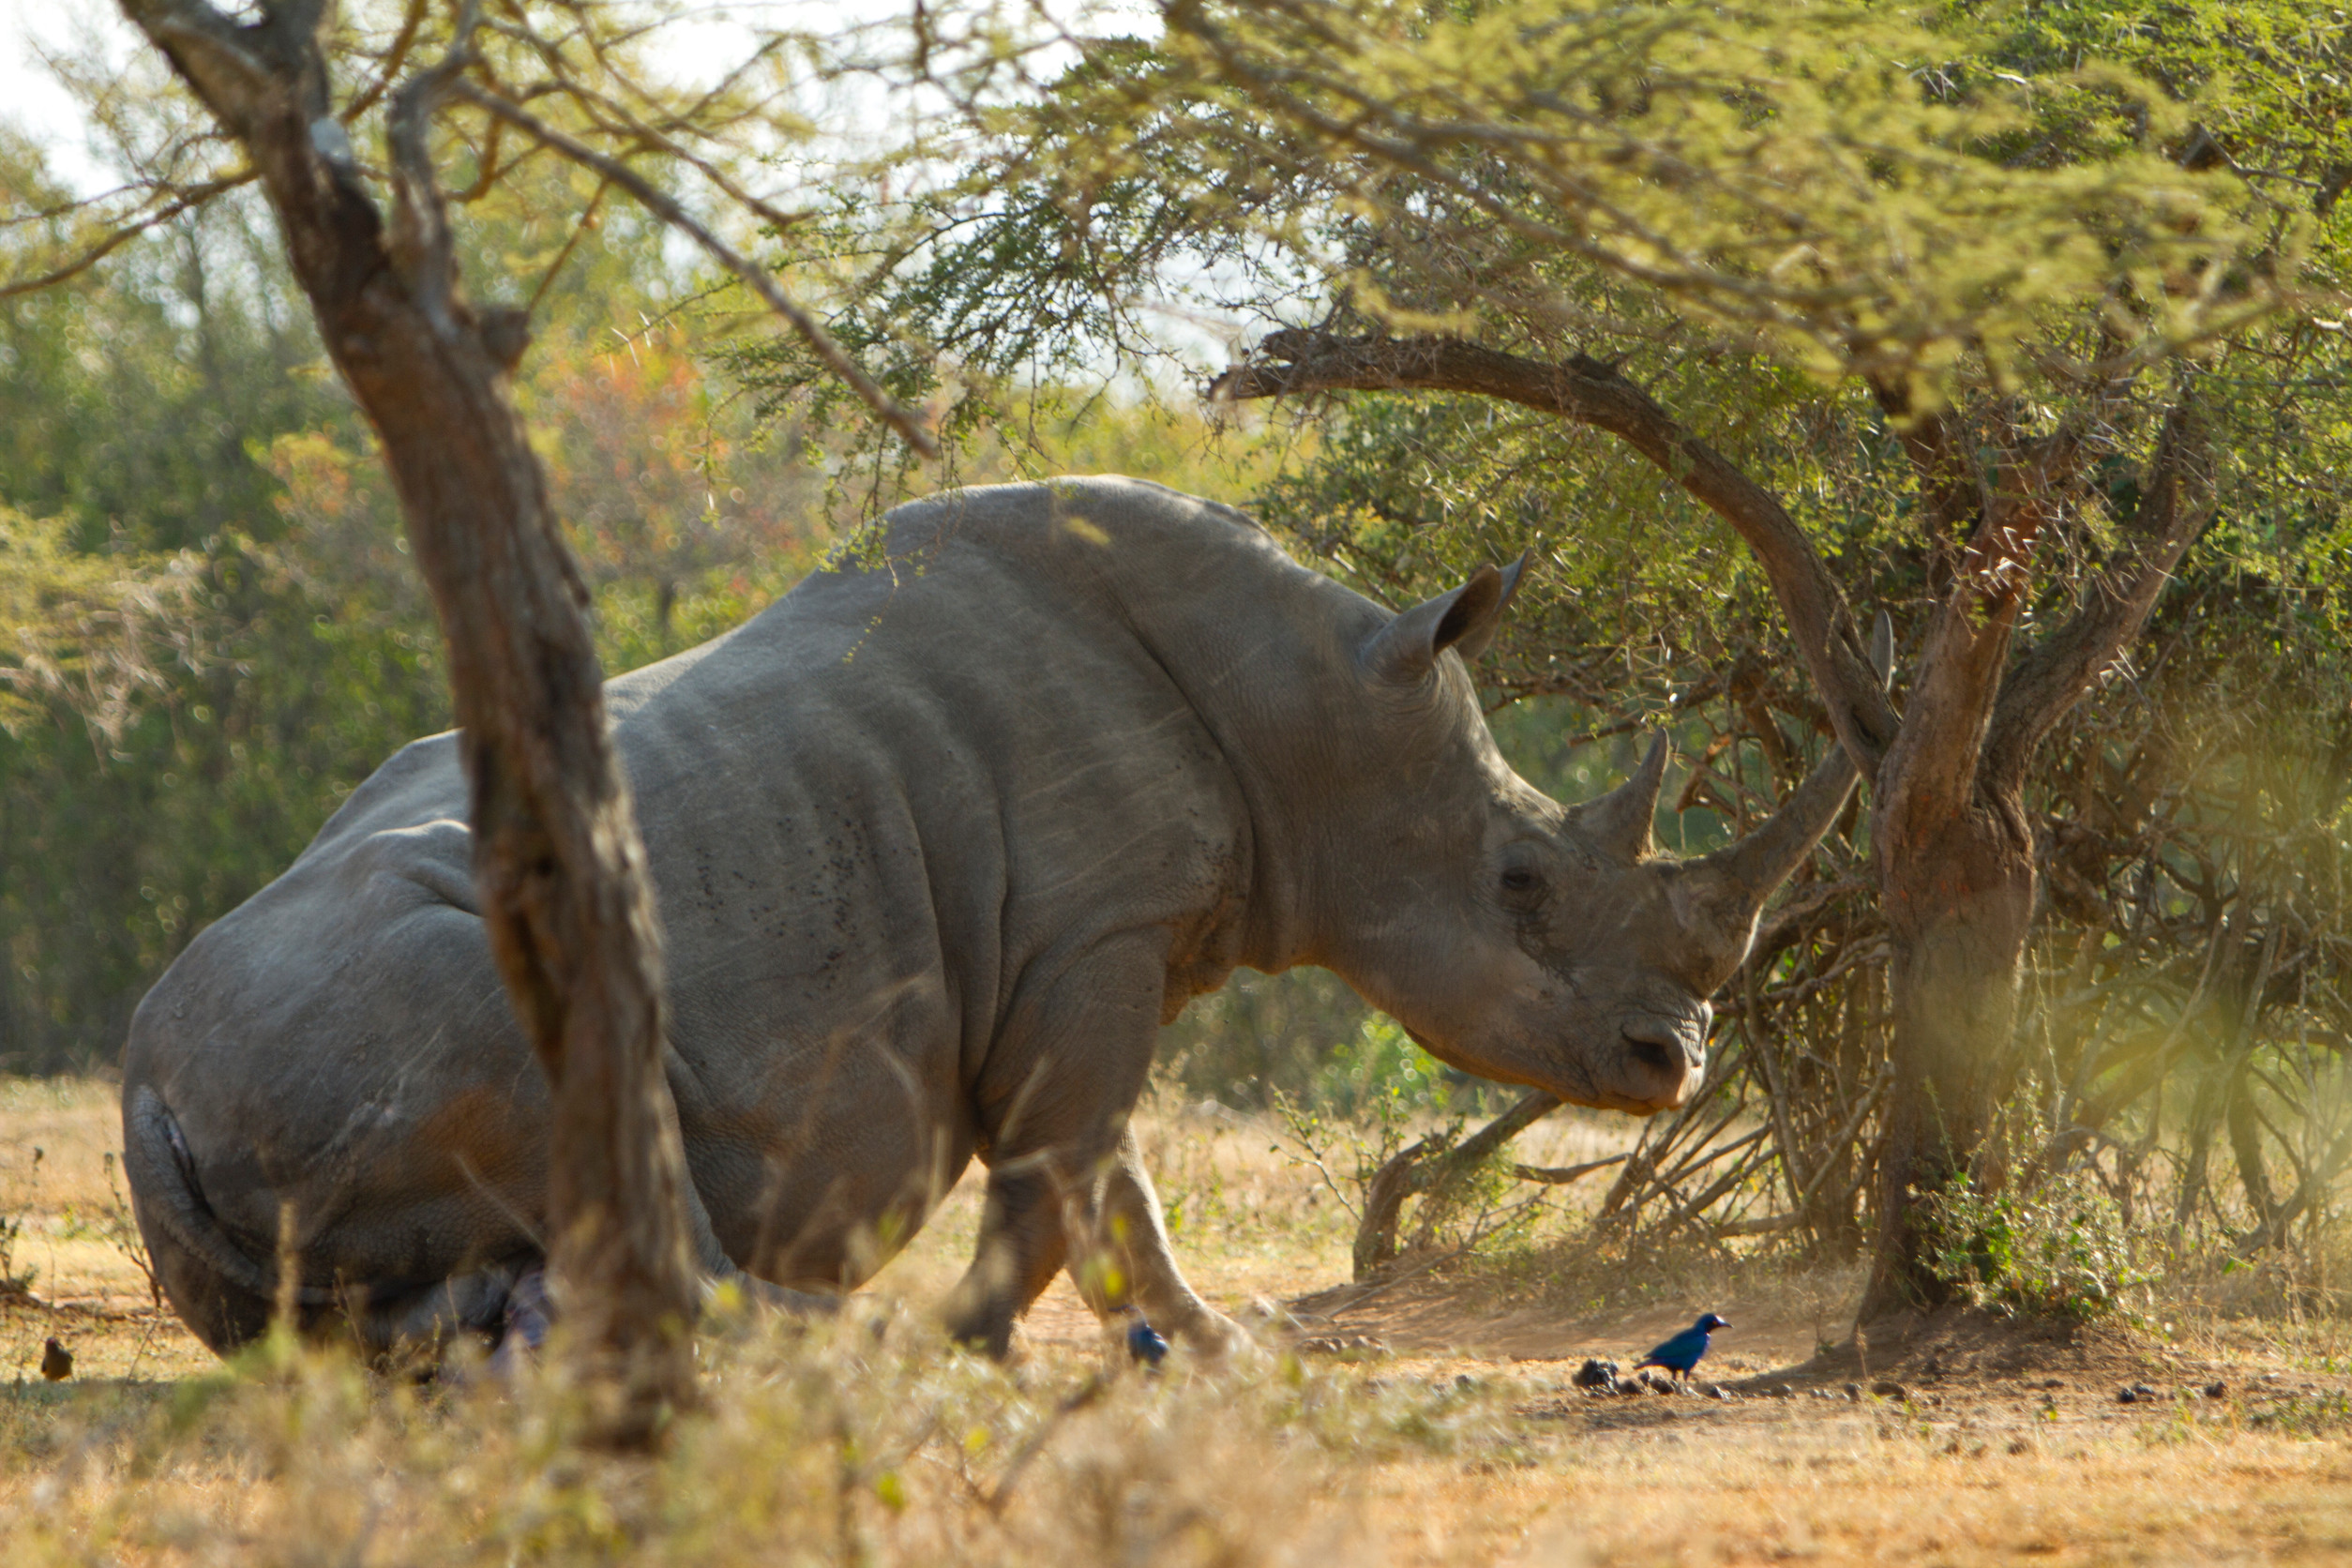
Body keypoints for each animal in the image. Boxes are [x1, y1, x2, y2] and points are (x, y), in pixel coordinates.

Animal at [124, 479, 1853, 1363]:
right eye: (1520, 885)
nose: (1674, 1064)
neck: (1307, 706)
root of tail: (145, 1089)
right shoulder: (1092, 933)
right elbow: (1073, 1176)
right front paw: (1041, 1341)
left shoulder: (1088, 946)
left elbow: (1093, 1177)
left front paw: (1179, 1343)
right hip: (397, 978)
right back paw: (811, 1336)